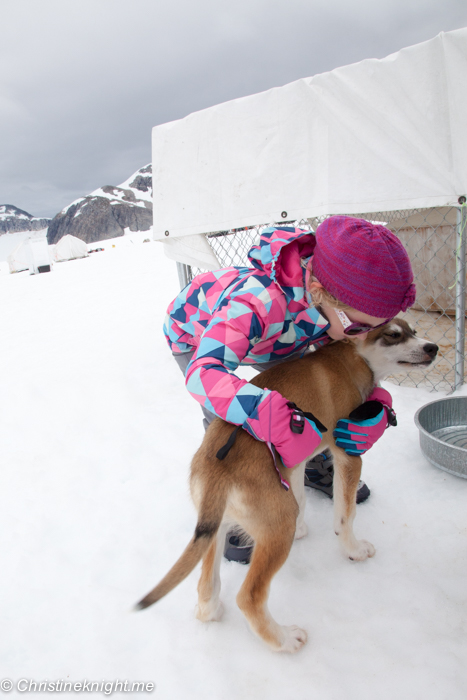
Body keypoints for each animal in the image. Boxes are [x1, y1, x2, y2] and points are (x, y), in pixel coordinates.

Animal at [136, 320, 438, 652]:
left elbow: (302, 497)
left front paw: (304, 528)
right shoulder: (348, 453)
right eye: (393, 334)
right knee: (249, 596)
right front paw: (354, 549)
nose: (433, 348)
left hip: (215, 526)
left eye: (413, 330)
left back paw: (211, 610)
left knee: (206, 583)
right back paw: (284, 639)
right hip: (277, 528)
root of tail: (216, 470)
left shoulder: (296, 457)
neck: (351, 356)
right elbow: (345, 514)